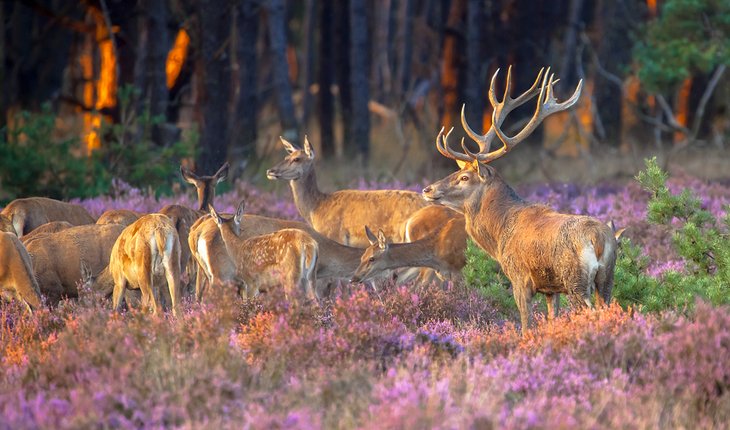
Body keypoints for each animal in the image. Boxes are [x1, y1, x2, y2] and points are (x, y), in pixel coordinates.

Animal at [420, 68, 616, 336]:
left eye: (464, 177)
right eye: (457, 171)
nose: (427, 189)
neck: (499, 233)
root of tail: (598, 238)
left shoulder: (519, 277)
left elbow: (525, 324)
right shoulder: (550, 288)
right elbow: (552, 318)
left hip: (575, 279)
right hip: (607, 277)